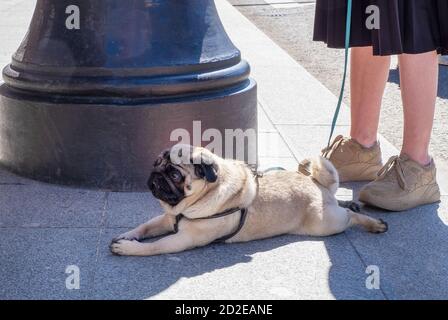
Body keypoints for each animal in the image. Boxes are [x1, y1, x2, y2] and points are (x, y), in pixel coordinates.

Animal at [110, 145, 386, 258]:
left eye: (175, 175)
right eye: (157, 162)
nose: (155, 175)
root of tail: (318, 185)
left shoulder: (183, 239)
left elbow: (155, 247)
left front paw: (130, 249)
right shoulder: (167, 219)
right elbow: (145, 227)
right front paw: (129, 235)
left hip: (324, 224)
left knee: (349, 218)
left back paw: (373, 223)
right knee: (344, 208)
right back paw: (352, 205)